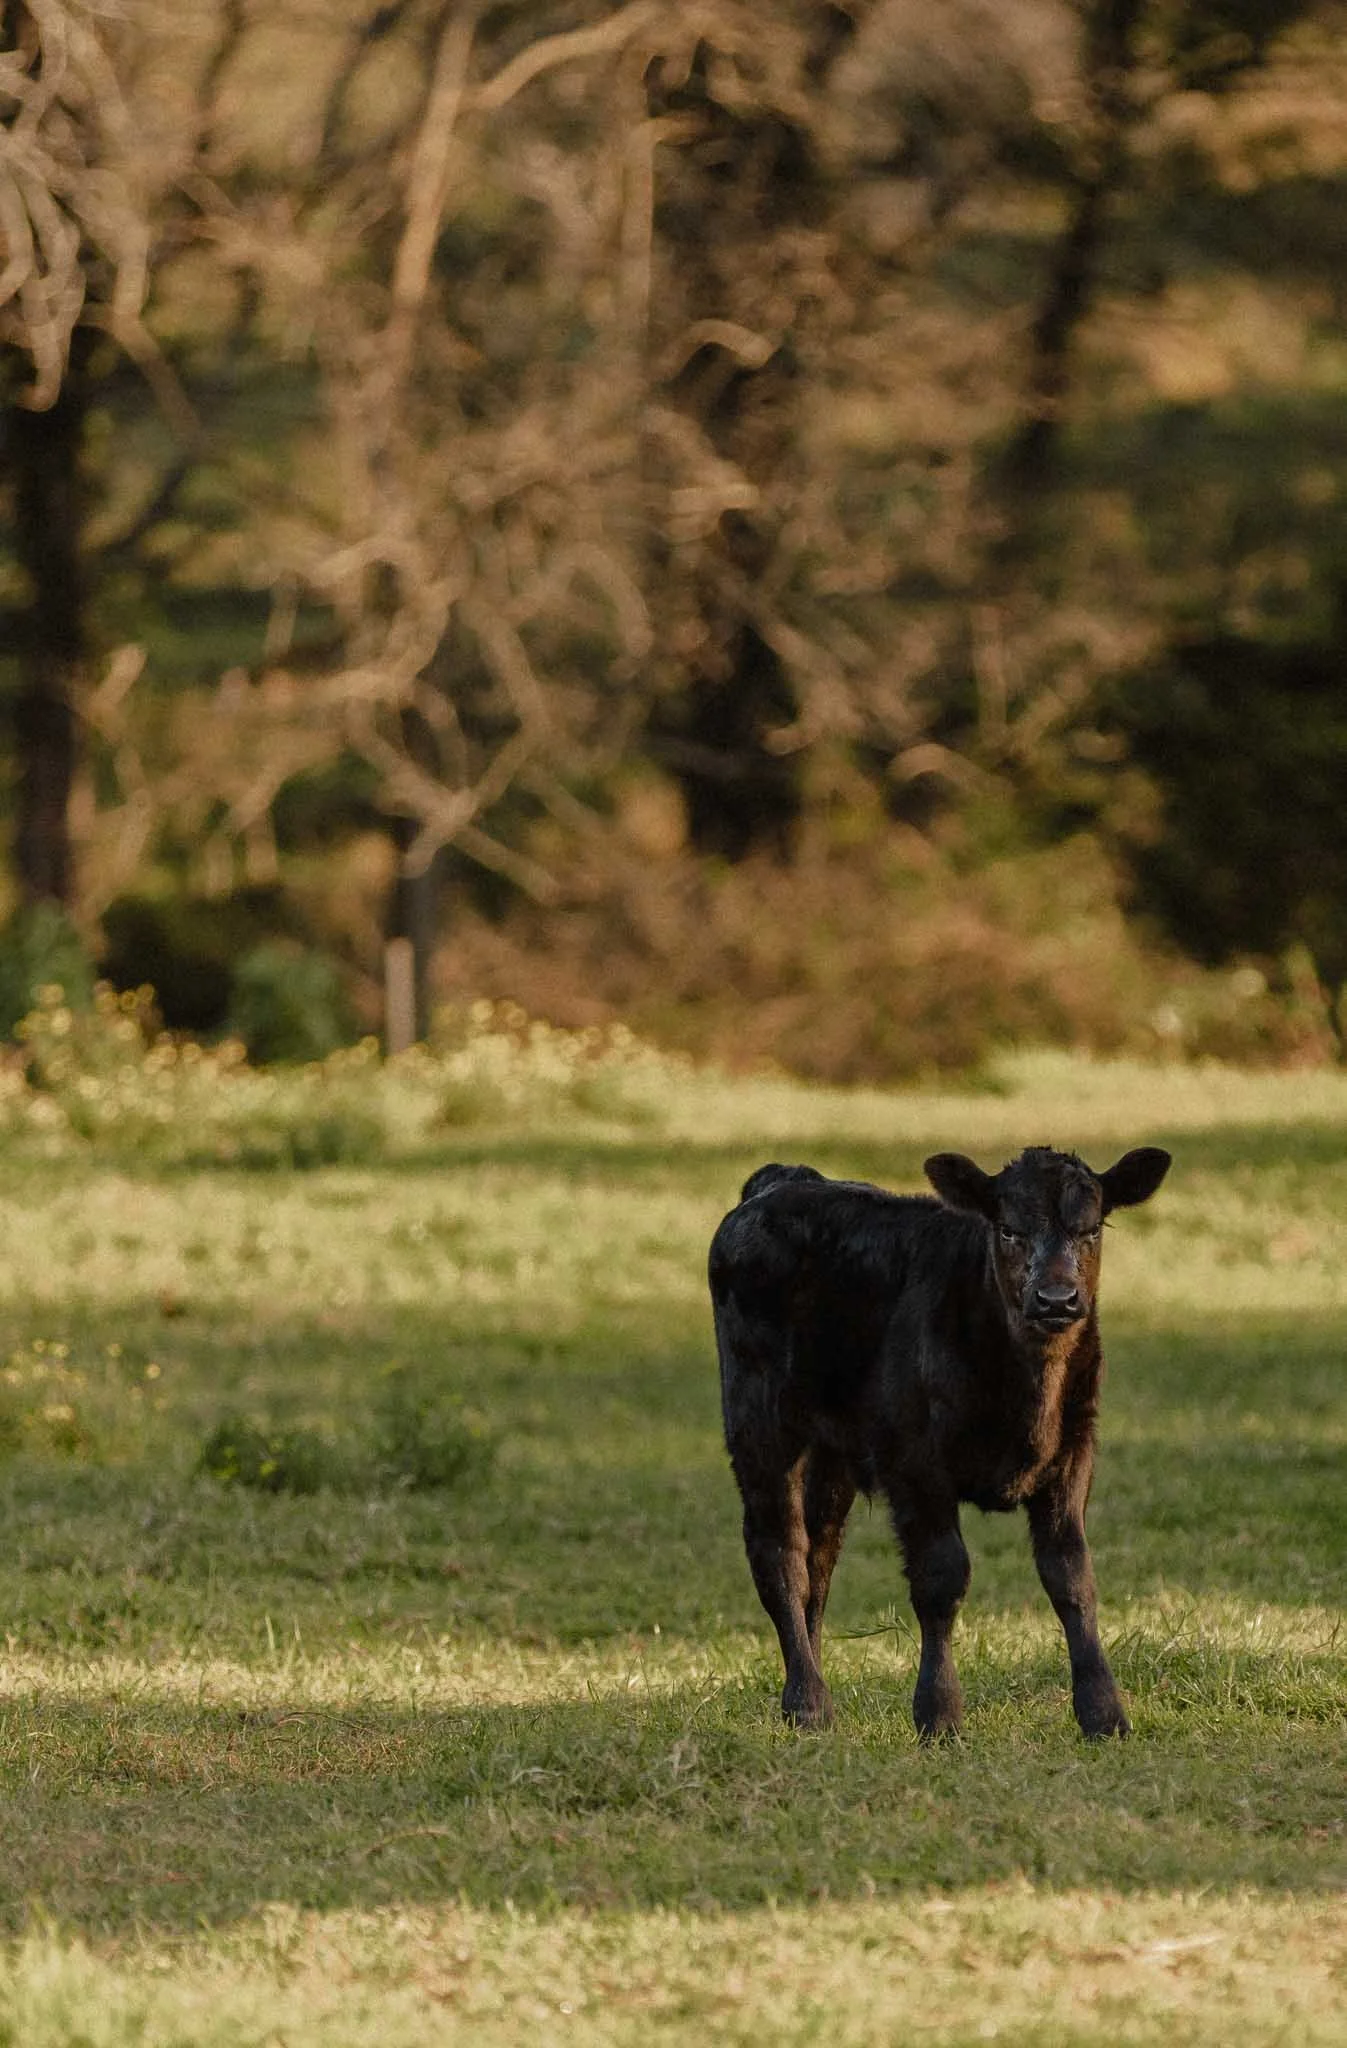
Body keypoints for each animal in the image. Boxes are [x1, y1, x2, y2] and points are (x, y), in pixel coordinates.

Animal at [709, 1144, 1171, 1740]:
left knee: (820, 1557)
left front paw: (1103, 1713)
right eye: (1007, 1230)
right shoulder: (915, 1463)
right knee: (779, 1552)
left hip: (832, 1452)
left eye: (1091, 1229)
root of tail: (780, 1180)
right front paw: (940, 1713)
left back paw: (808, 1688)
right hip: (760, 1423)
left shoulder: (1072, 1455)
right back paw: (807, 1704)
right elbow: (942, 1577)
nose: (1056, 1299)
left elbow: (1071, 1576)